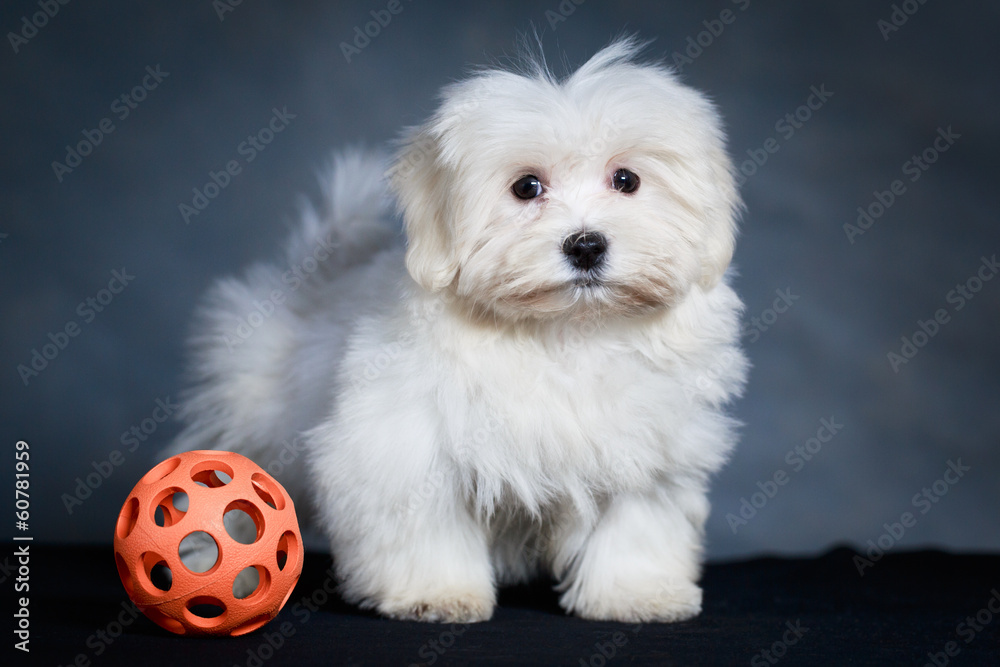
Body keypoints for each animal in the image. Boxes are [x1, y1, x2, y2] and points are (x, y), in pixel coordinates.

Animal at [167, 36, 747, 623]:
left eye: (626, 180)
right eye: (526, 187)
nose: (586, 245)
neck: (563, 332)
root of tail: (316, 279)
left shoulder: (652, 447)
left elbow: (636, 522)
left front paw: (635, 594)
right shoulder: (402, 445)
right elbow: (424, 522)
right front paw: (435, 592)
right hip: (253, 420)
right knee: (235, 491)